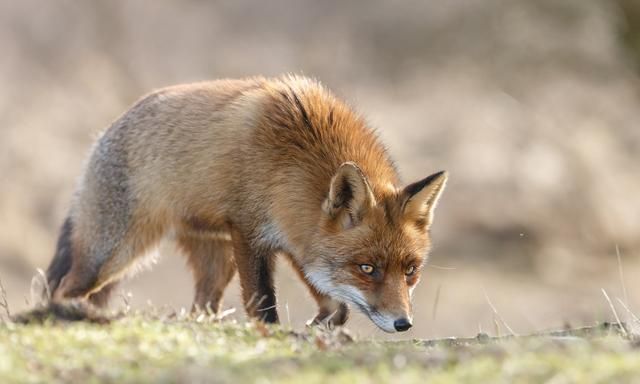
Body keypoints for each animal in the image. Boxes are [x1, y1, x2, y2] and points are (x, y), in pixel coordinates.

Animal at [45, 76, 448, 332]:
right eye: (367, 268)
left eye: (411, 270)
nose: (403, 324)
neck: (294, 157)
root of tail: (104, 133)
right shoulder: (250, 231)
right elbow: (263, 304)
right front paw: (277, 336)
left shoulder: (298, 239)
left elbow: (337, 308)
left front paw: (317, 330)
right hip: (113, 254)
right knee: (65, 286)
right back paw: (65, 313)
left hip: (216, 258)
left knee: (202, 306)